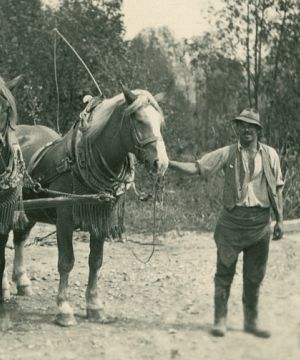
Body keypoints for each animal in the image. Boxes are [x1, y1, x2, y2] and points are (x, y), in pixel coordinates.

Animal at [2, 84, 169, 326]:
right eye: (138, 120)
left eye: (160, 123)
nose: (161, 164)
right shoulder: (64, 221)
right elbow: (66, 262)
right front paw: (64, 309)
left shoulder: (101, 220)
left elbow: (95, 261)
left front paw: (94, 306)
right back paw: (4, 288)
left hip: (31, 210)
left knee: (19, 239)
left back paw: (22, 282)